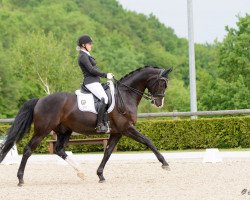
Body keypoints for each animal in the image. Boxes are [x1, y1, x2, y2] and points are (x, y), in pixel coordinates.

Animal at [0, 65, 172, 186]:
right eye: (162, 83)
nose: (159, 103)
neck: (125, 95)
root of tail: (40, 100)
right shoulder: (126, 128)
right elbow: (148, 141)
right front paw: (165, 164)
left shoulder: (117, 132)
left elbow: (108, 152)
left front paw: (100, 175)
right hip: (43, 130)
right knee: (28, 150)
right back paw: (20, 179)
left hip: (64, 131)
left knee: (59, 150)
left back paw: (81, 172)